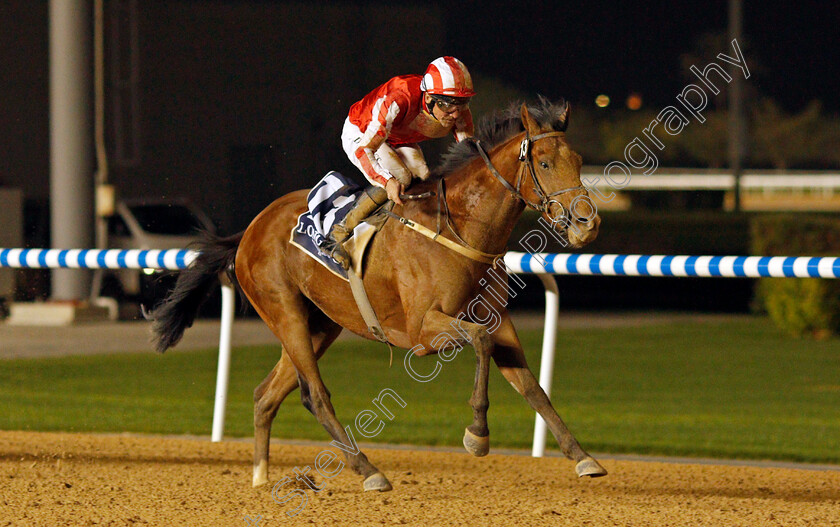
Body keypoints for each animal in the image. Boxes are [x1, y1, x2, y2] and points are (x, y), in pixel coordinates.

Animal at [148, 99, 608, 496]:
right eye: (544, 163)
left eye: (578, 162)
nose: (587, 224)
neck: (458, 227)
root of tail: (249, 229)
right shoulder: (424, 332)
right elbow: (480, 343)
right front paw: (477, 435)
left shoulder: (498, 321)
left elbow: (533, 388)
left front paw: (583, 457)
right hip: (286, 313)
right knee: (315, 395)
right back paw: (369, 470)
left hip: (320, 323)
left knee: (267, 395)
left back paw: (262, 477)